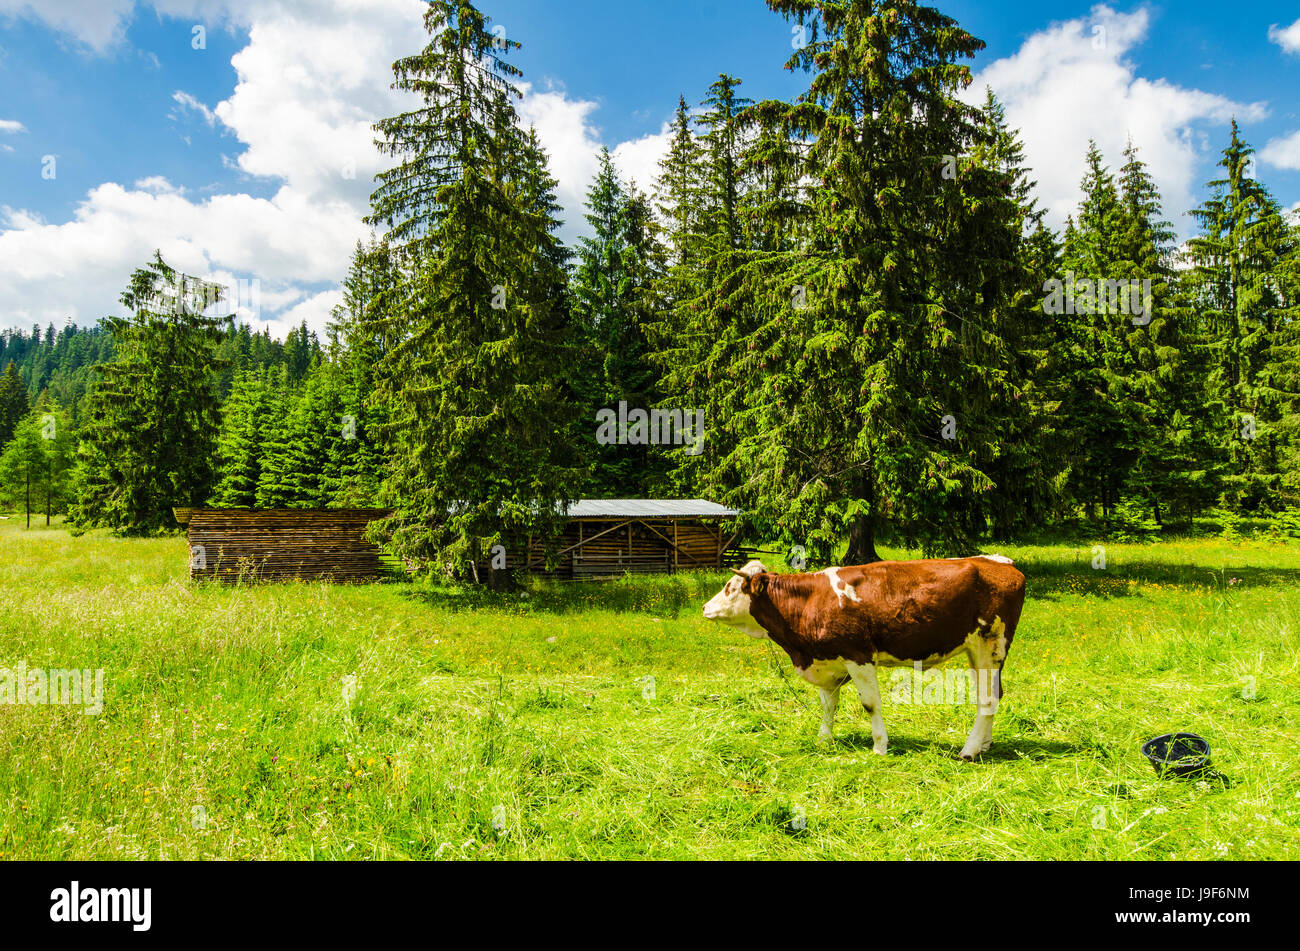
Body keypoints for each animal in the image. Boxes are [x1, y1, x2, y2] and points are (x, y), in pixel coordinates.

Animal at [703, 556, 1026, 760]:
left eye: (730, 587)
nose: (705, 607)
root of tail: (1002, 563)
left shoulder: (858, 655)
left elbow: (870, 704)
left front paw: (880, 746)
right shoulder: (828, 659)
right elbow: (828, 705)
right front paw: (824, 739)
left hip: (990, 645)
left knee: (987, 699)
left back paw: (968, 751)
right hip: (979, 652)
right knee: (990, 695)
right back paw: (984, 744)